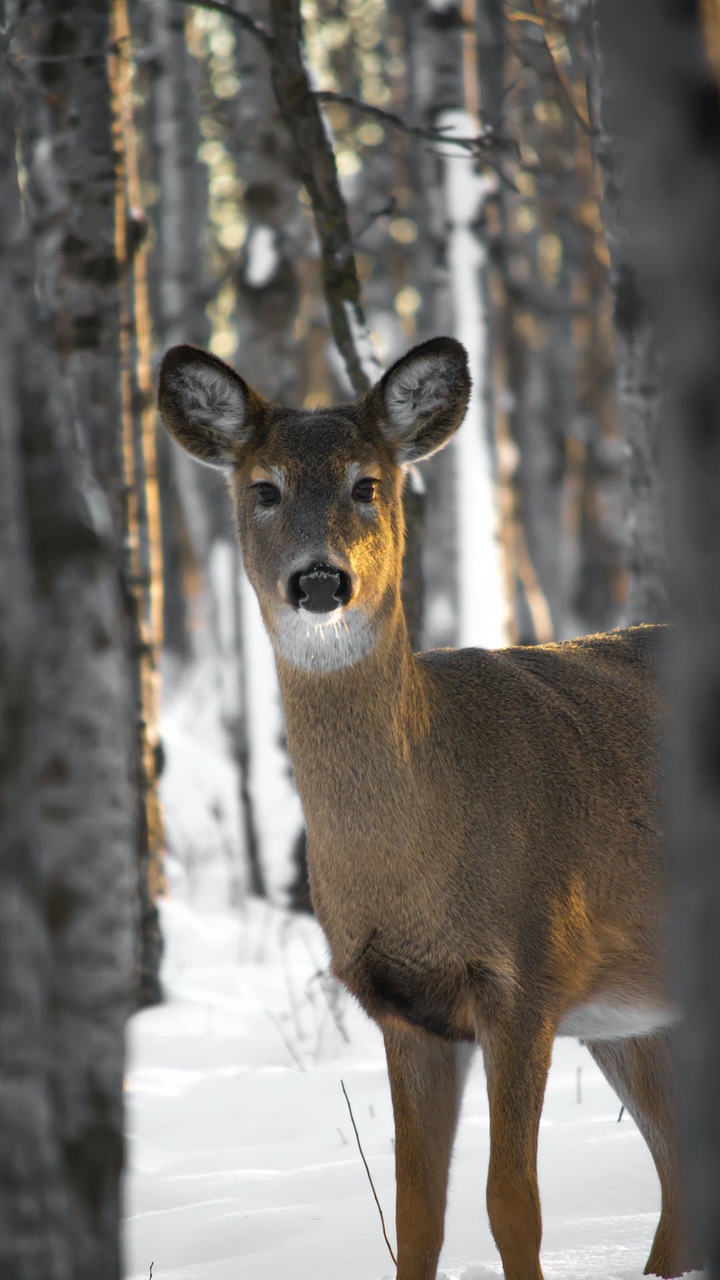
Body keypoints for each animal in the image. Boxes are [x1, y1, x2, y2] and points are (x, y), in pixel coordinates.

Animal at [158, 336, 698, 1280]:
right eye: (263, 487)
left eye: (367, 483)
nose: (321, 581)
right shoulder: (403, 1008)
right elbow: (416, 1212)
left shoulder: (527, 971)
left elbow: (512, 1201)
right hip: (633, 1016)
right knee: (682, 1179)